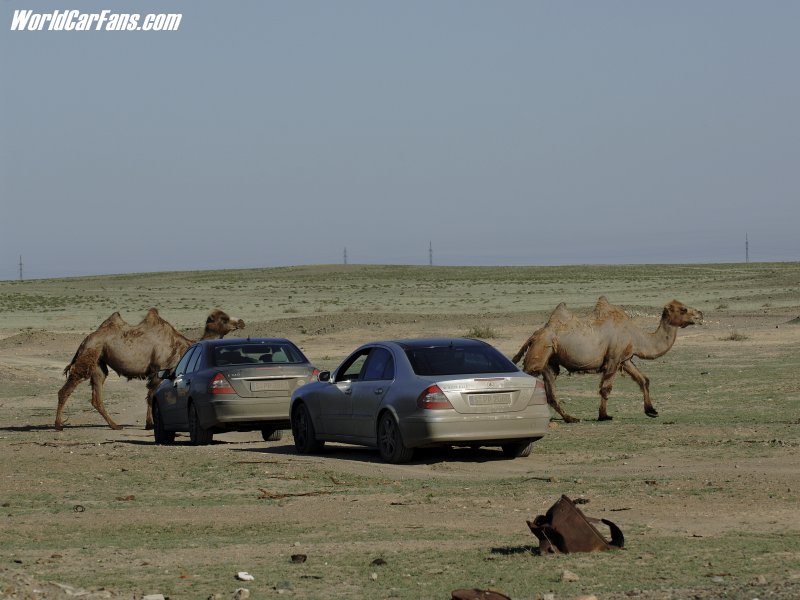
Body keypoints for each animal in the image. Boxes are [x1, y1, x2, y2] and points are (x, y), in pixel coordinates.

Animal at [56, 310, 244, 432]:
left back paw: (115, 425)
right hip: (91, 352)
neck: (181, 346)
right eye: (224, 319)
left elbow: (150, 396)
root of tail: (85, 340)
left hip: (99, 361)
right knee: (68, 387)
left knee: (97, 394)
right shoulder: (159, 369)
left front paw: (150, 423)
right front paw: (151, 424)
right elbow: (151, 395)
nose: (241, 322)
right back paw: (59, 425)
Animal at [516, 296, 704, 422]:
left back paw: (571, 418)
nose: (700, 314)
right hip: (539, 353)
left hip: (550, 362)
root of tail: (535, 335)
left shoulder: (625, 359)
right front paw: (604, 415)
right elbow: (606, 388)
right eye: (683, 309)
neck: (636, 336)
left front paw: (651, 410)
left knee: (550, 392)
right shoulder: (613, 358)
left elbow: (643, 380)